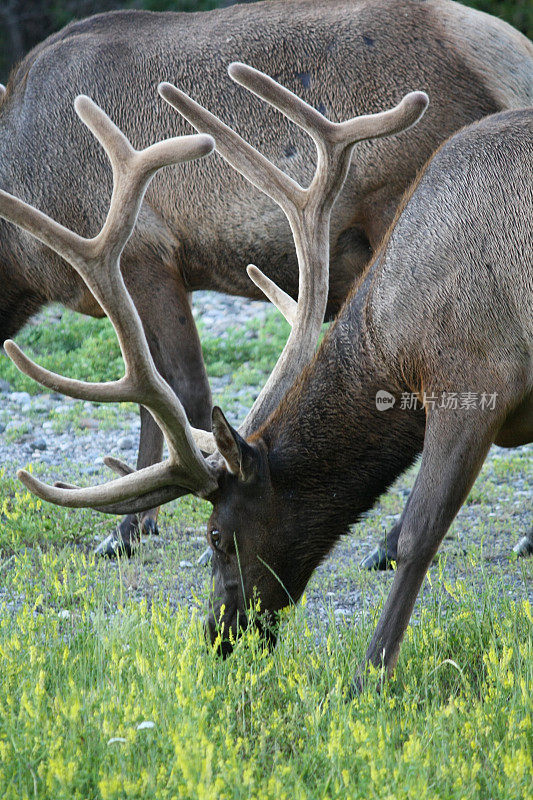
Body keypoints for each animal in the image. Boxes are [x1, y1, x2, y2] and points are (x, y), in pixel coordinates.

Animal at [2, 62, 528, 688]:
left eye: (215, 535)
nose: (219, 634)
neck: (395, 345)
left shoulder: (474, 377)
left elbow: (421, 533)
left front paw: (368, 677)